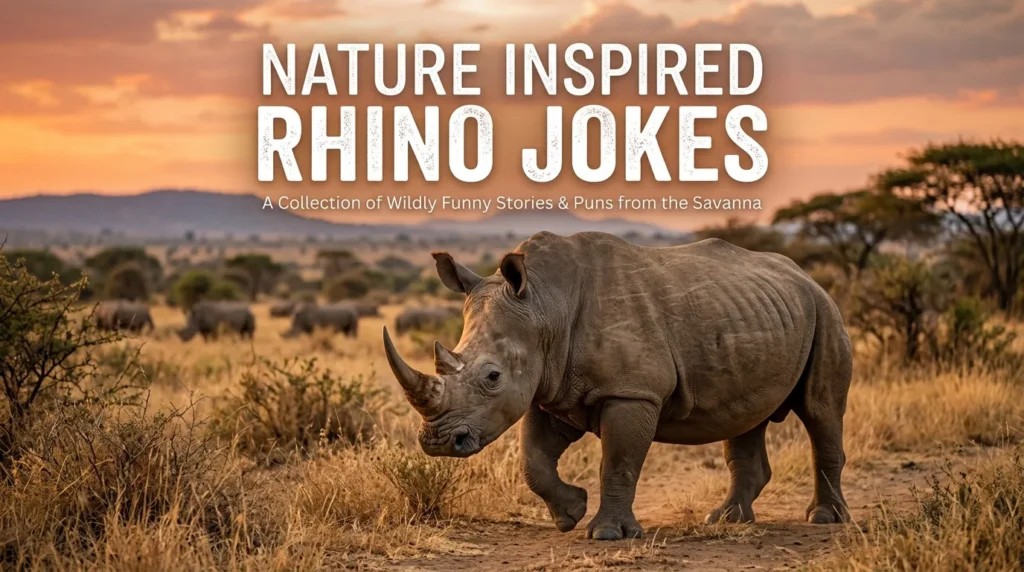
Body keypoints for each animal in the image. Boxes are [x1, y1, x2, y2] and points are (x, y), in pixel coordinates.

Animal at [382, 232, 853, 540]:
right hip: (760, 313)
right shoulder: (550, 388)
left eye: (492, 377)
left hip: (825, 311)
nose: (438, 442)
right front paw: (569, 514)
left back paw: (824, 520)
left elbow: (619, 459)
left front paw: (607, 534)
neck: (544, 306)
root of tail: (807, 276)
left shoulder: (631, 391)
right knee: (745, 417)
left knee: (821, 411)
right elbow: (533, 460)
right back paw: (725, 520)